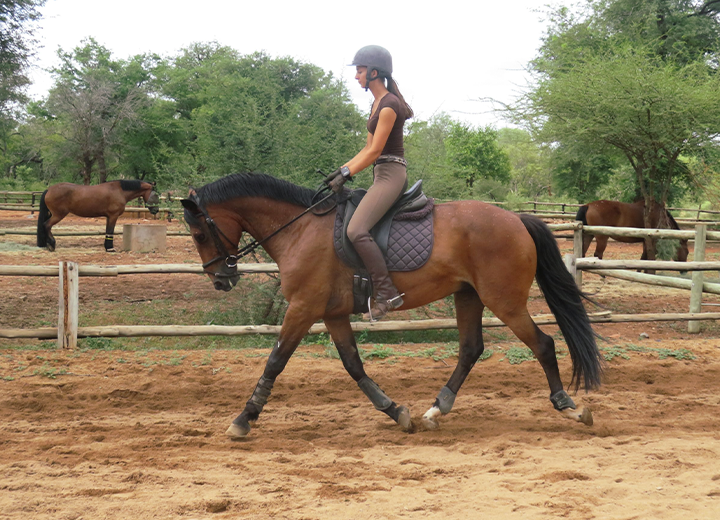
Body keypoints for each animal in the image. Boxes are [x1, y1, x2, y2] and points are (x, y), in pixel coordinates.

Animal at [181, 173, 603, 439]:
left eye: (199, 233)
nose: (220, 280)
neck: (299, 228)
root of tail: (516, 219)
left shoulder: (303, 307)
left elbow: (275, 361)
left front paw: (243, 419)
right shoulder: (332, 313)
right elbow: (353, 365)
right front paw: (396, 411)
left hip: (505, 301)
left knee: (543, 344)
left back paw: (569, 406)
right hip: (468, 295)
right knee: (470, 349)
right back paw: (435, 410)